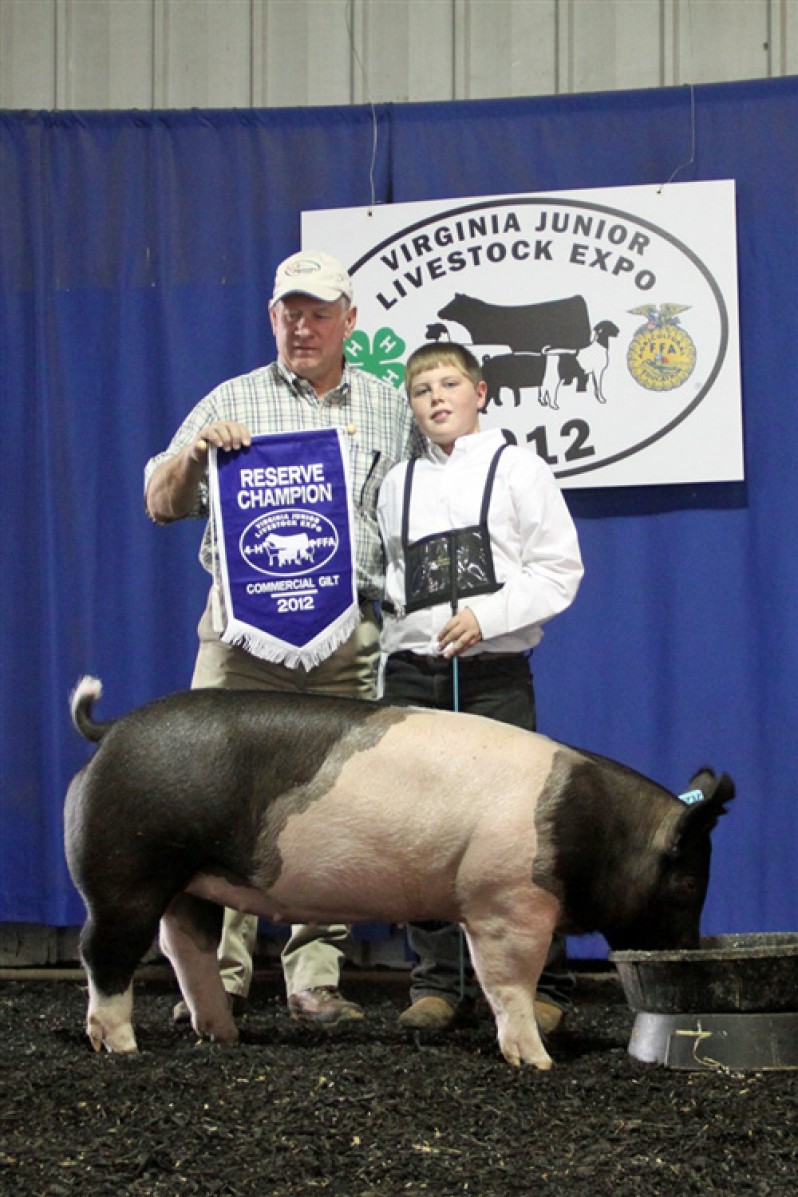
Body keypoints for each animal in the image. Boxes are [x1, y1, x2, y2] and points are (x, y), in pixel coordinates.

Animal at [65, 679, 732, 1072]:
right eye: (687, 886)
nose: (686, 950)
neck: (595, 831)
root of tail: (111, 730)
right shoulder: (505, 901)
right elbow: (510, 983)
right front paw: (538, 1064)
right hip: (126, 870)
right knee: (103, 951)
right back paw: (122, 1047)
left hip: (192, 878)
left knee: (186, 947)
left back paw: (224, 1035)